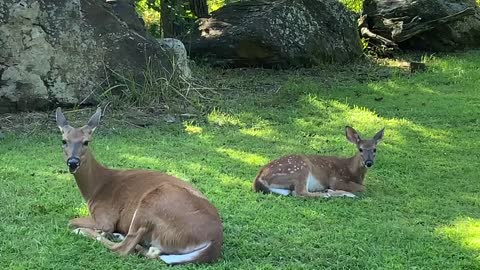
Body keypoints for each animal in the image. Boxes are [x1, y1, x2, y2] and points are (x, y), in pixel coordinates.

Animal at [55, 107, 223, 264]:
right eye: (64, 141)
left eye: (86, 142)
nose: (73, 162)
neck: (96, 188)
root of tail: (214, 241)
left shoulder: (105, 217)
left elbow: (71, 221)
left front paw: (91, 230)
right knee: (150, 251)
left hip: (153, 202)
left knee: (124, 248)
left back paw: (87, 232)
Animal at [253, 126, 384, 198]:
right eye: (360, 149)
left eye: (375, 149)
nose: (369, 162)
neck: (353, 172)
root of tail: (258, 178)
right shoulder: (336, 179)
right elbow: (363, 188)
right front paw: (332, 190)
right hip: (300, 168)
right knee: (300, 192)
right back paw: (328, 194)